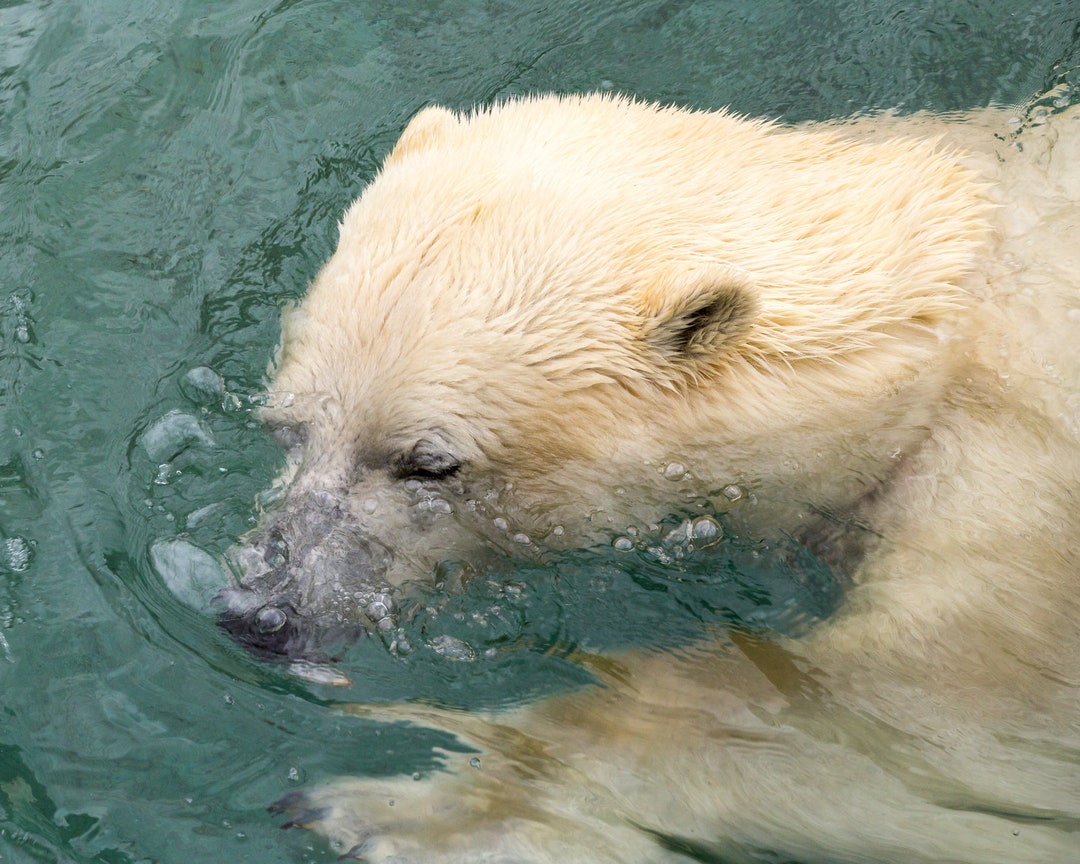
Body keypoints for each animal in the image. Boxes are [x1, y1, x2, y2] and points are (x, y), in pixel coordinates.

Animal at [217, 94, 1080, 862]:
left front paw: (408, 813)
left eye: (429, 463)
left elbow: (909, 724)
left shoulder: (1011, 485)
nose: (263, 613)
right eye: (289, 425)